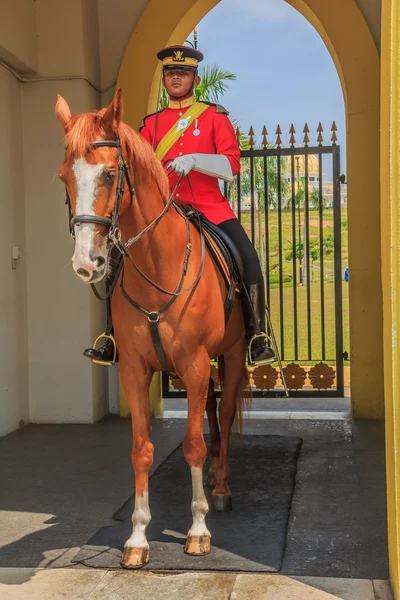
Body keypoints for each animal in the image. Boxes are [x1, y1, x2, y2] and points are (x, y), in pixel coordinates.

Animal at [54, 88, 248, 568]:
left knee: (225, 410)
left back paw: (220, 485)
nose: (87, 263)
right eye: (65, 176)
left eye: (109, 174)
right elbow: (141, 449)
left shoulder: (195, 364)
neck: (157, 264)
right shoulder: (136, 369)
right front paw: (139, 536)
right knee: (213, 409)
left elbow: (193, 445)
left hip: (233, 354)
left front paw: (197, 530)